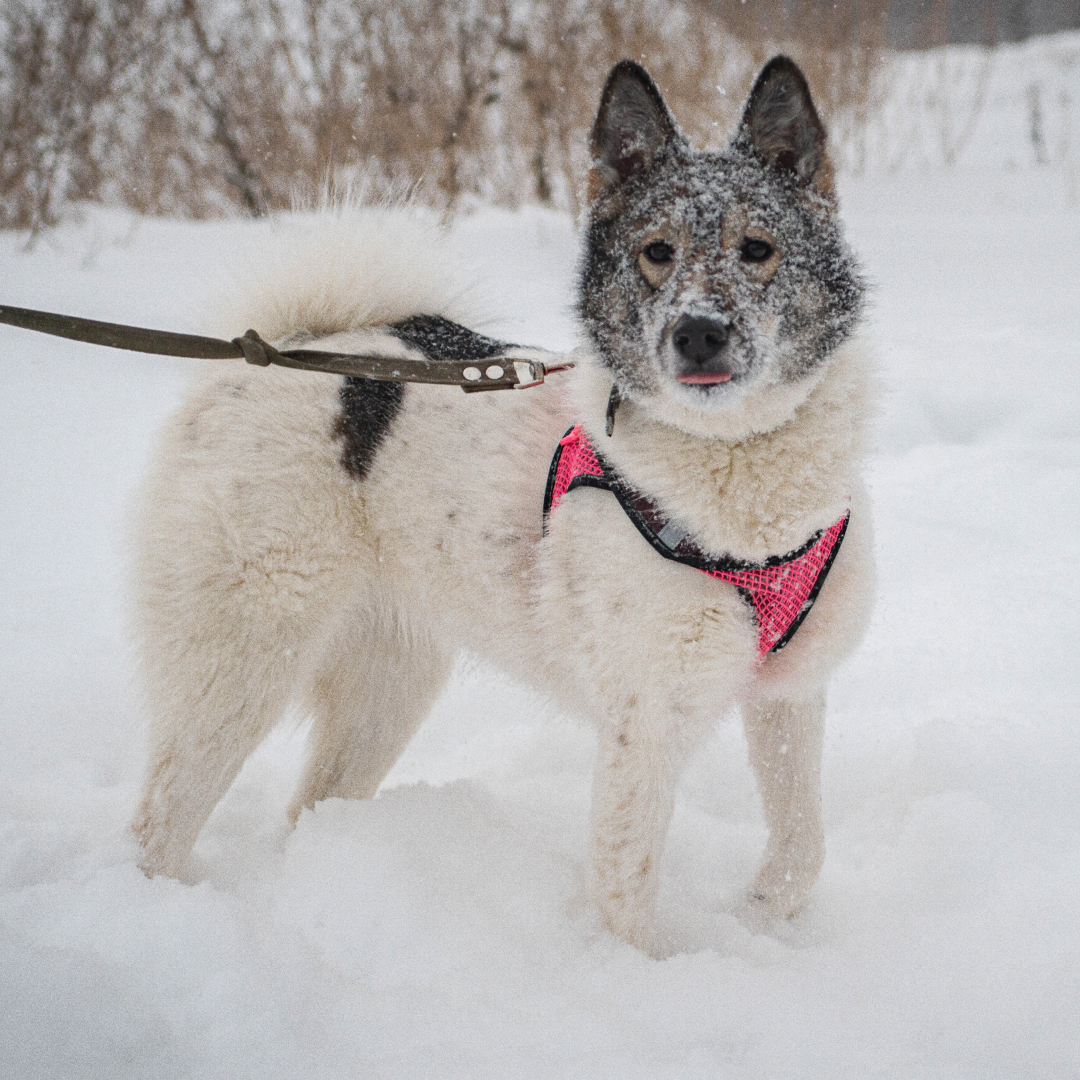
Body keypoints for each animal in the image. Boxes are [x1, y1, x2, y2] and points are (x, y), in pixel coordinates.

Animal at [132, 59, 876, 954]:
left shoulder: (790, 693)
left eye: (757, 249)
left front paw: (762, 913)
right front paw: (644, 975)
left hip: (390, 679)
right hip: (242, 660)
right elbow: (627, 887)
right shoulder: (644, 723)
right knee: (159, 818)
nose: (697, 333)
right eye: (657, 253)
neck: (735, 475)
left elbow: (805, 844)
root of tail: (282, 349)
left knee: (311, 800)